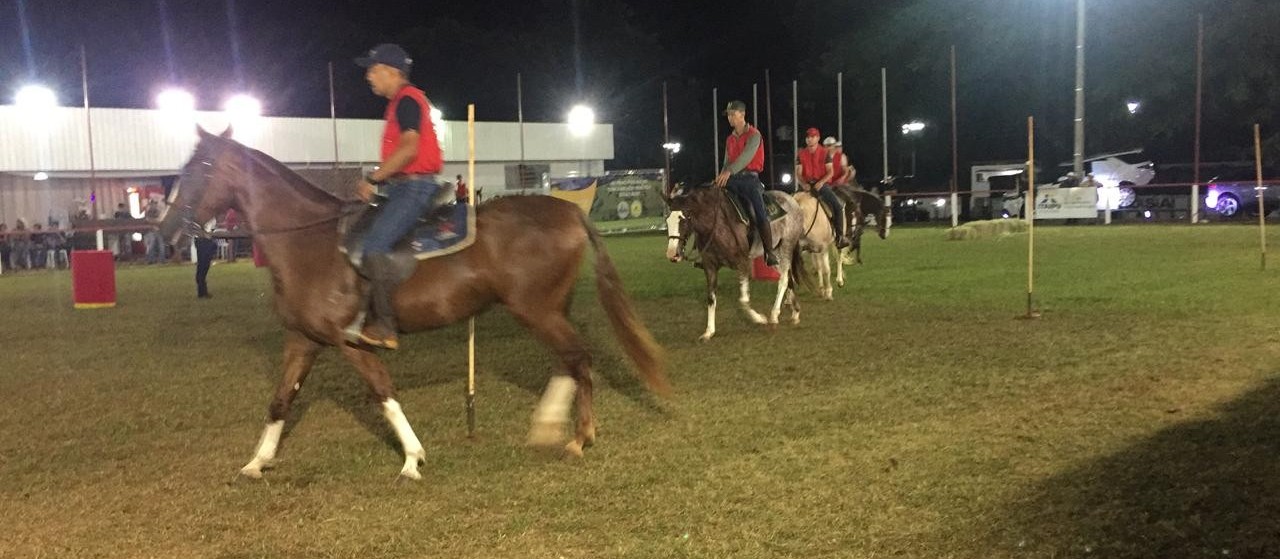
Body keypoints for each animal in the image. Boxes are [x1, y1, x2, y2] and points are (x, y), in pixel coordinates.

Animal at [157, 126, 670, 478]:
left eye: (199, 169)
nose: (166, 231)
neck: (310, 243)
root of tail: (566, 209)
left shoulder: (351, 343)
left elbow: (383, 392)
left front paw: (411, 458)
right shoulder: (302, 339)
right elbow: (281, 400)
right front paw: (257, 462)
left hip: (536, 310)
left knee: (578, 358)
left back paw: (579, 437)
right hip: (547, 309)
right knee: (568, 360)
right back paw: (548, 426)